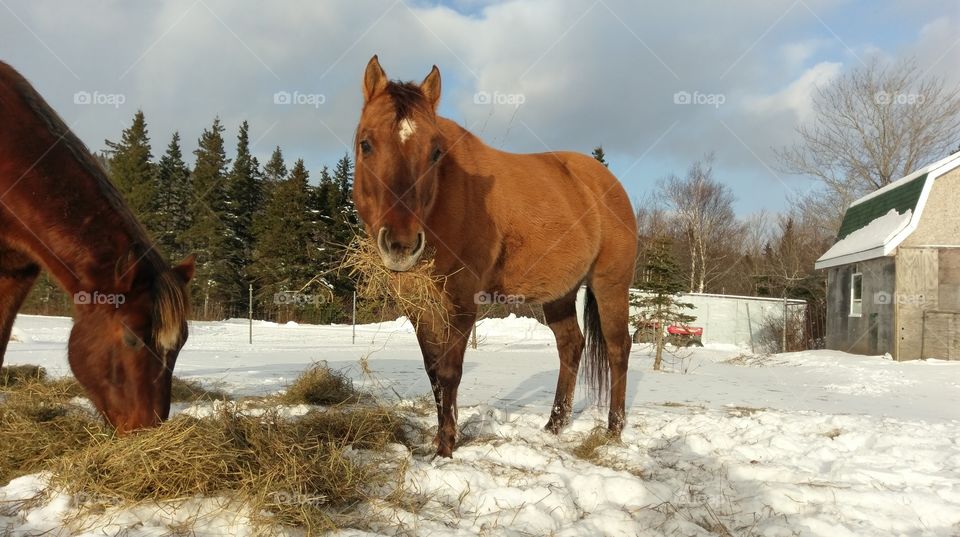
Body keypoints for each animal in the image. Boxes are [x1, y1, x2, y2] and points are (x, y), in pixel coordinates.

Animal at [352, 56, 636, 454]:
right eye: (366, 144)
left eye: (435, 152)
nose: (402, 244)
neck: (446, 197)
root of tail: (607, 183)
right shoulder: (419, 305)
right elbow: (433, 372)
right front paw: (439, 440)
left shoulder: (461, 299)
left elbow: (449, 372)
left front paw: (445, 449)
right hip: (560, 294)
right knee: (571, 346)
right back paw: (554, 425)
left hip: (611, 286)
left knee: (617, 348)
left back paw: (613, 430)